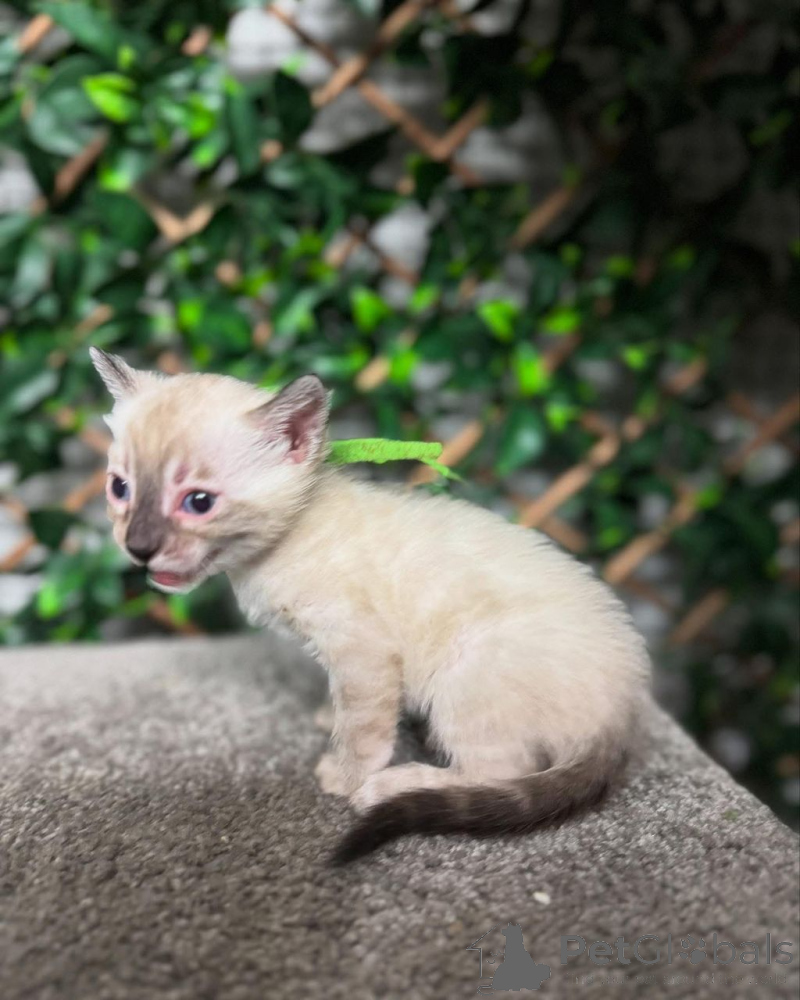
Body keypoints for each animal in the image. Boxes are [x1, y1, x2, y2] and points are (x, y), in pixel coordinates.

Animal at [90, 348, 651, 863]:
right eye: (120, 488)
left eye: (199, 502)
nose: (139, 547)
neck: (283, 544)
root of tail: (624, 713)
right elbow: (343, 703)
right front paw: (326, 716)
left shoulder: (364, 651)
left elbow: (364, 728)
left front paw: (346, 774)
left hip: (466, 674)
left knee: (498, 772)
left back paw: (392, 787)